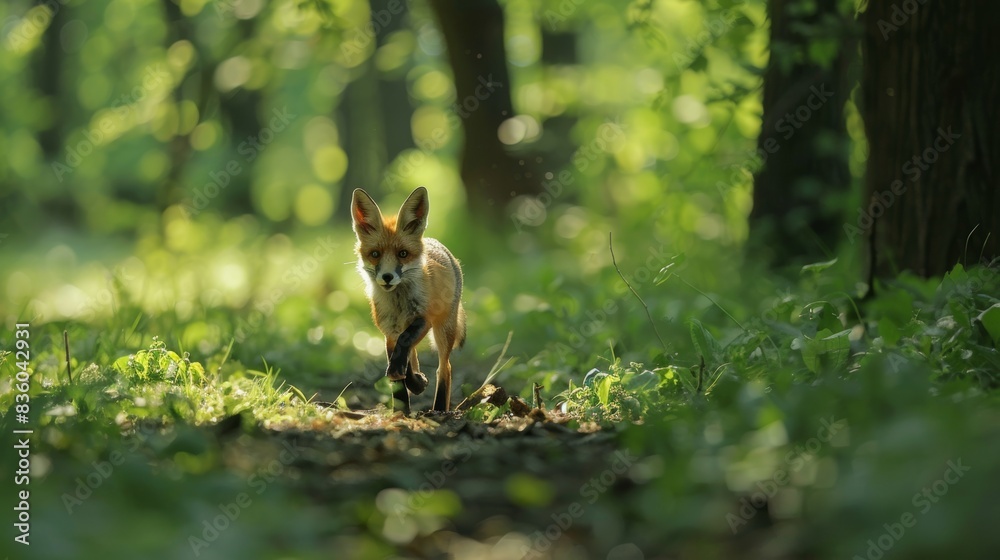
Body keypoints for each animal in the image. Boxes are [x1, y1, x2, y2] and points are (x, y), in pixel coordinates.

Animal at [351, 186, 466, 412]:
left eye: (403, 254)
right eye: (375, 254)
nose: (387, 277)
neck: (399, 304)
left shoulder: (424, 319)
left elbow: (405, 345)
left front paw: (410, 381)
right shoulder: (389, 331)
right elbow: (400, 372)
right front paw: (403, 406)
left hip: (443, 330)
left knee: (445, 368)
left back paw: (440, 408)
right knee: (414, 356)